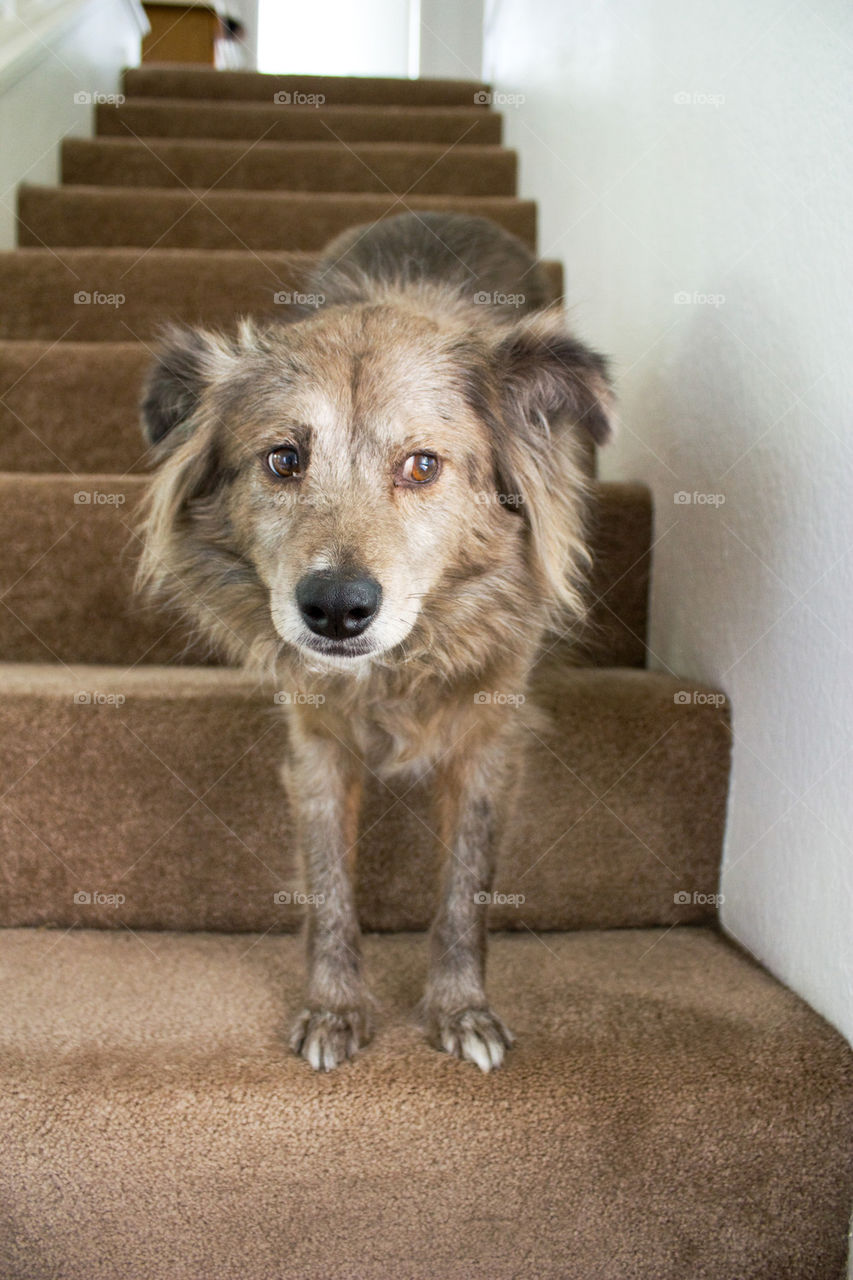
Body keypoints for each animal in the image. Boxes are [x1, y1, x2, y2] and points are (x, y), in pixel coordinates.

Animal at [134, 212, 612, 1070]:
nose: (334, 608)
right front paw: (334, 1008)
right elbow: (329, 886)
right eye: (283, 459)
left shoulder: (489, 743)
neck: (400, 667)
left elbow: (464, 888)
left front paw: (461, 1009)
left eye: (421, 465)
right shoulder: (314, 745)